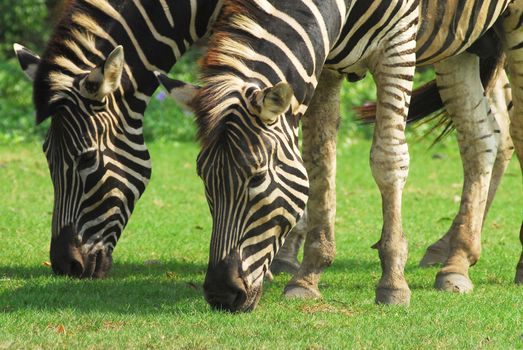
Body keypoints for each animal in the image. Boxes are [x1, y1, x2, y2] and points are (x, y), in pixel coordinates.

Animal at [160, 0, 523, 312]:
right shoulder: (325, 61)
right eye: (203, 178)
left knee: (514, 131)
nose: (221, 294)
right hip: (460, 42)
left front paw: (393, 282)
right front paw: (307, 276)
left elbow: (388, 159)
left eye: (257, 178)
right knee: (479, 138)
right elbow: (319, 161)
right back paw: (456, 261)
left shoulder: (397, 44)